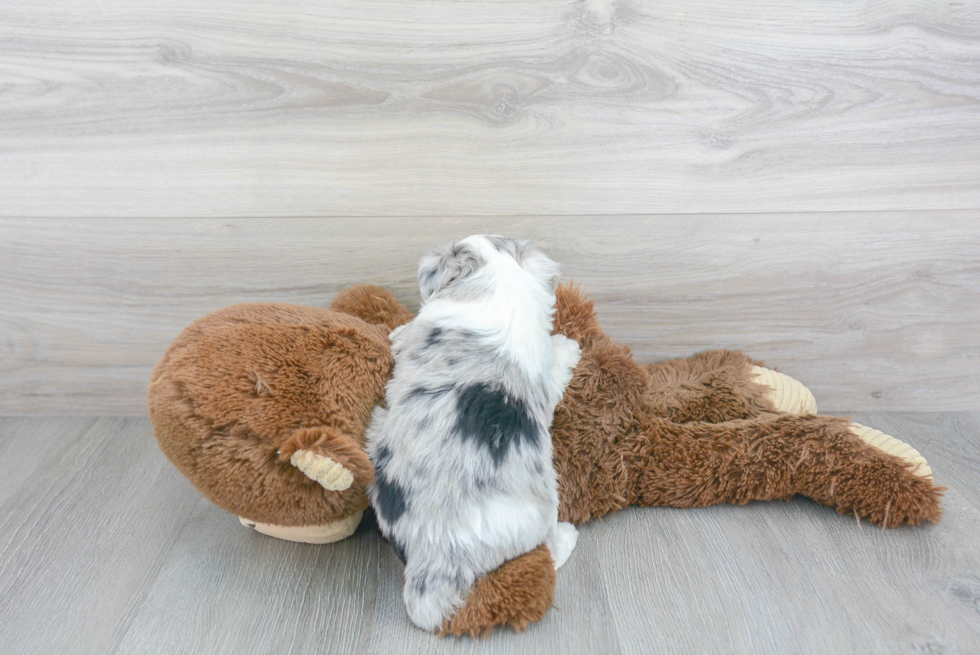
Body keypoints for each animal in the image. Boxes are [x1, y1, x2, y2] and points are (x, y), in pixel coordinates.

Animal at [368, 234, 580, 632]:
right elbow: (558, 362)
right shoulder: (545, 378)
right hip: (545, 505)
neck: (499, 282)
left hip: (375, 436)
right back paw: (568, 536)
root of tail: (435, 551)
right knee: (549, 546)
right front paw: (570, 345)